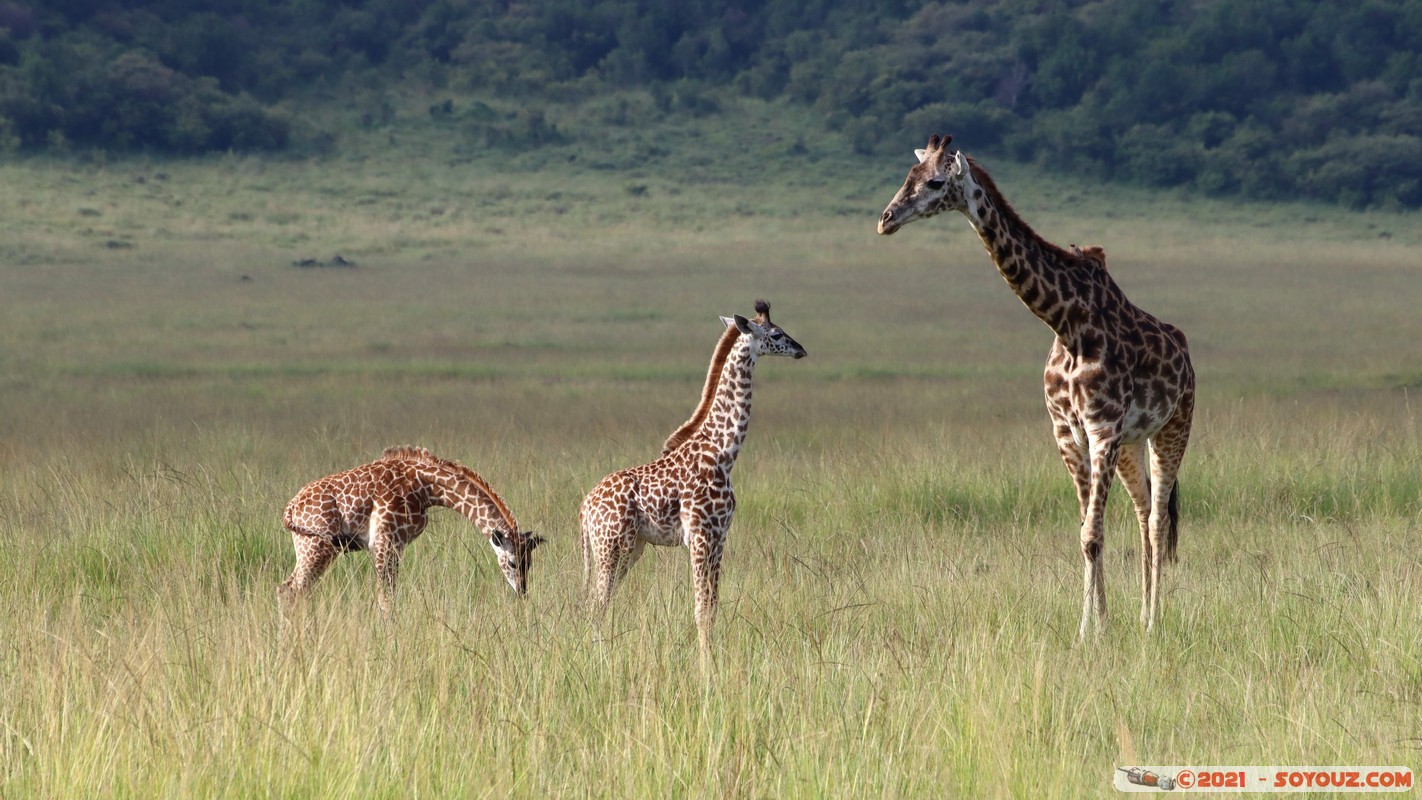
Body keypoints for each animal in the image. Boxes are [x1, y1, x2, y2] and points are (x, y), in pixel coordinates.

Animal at [280, 449, 546, 616]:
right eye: (512, 563)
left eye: (530, 563)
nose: (522, 592)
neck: (426, 488)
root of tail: (290, 509)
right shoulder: (385, 540)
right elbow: (386, 600)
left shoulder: (397, 545)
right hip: (318, 547)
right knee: (291, 591)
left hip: (311, 548)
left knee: (290, 590)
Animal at [577, 304, 802, 659]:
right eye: (777, 334)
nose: (800, 350)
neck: (724, 450)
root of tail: (585, 508)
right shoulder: (699, 536)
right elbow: (701, 609)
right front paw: (706, 664)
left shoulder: (720, 537)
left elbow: (713, 605)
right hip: (610, 547)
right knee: (595, 605)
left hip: (629, 549)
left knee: (598, 603)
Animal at [870, 137, 1194, 639]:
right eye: (909, 175)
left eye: (936, 182)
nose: (886, 219)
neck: (1067, 322)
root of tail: (1186, 353)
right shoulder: (1069, 434)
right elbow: (1087, 532)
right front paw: (1098, 626)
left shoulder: (1102, 430)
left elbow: (1092, 534)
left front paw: (1088, 631)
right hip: (1131, 443)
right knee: (1143, 514)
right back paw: (1142, 613)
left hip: (1173, 426)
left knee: (1159, 520)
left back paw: (1153, 623)